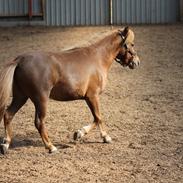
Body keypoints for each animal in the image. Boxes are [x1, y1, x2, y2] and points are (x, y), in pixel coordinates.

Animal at [0, 26, 140, 154]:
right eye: (132, 44)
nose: (137, 62)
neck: (98, 58)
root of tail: (20, 60)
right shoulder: (92, 96)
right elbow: (98, 117)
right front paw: (105, 137)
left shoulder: (88, 98)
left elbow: (95, 118)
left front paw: (79, 133)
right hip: (41, 99)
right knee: (39, 122)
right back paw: (51, 147)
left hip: (21, 97)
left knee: (8, 114)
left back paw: (6, 144)